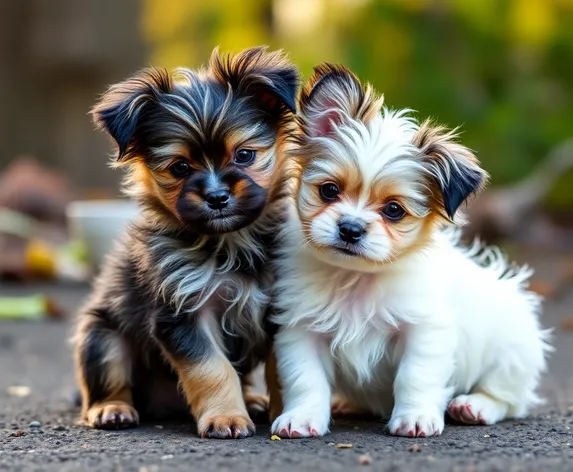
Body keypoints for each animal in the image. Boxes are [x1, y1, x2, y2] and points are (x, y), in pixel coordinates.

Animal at [73, 47, 298, 438]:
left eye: (244, 155)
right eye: (179, 168)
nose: (217, 197)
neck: (230, 243)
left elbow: (283, 369)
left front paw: (288, 413)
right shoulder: (185, 312)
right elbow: (211, 368)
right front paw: (226, 418)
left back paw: (253, 400)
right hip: (101, 337)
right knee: (108, 381)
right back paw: (112, 409)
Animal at [270, 63, 552, 438]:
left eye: (393, 210)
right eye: (329, 191)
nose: (350, 229)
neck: (356, 279)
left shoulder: (424, 331)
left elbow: (415, 377)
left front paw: (415, 417)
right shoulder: (302, 331)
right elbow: (306, 380)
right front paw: (301, 418)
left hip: (512, 354)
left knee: (508, 399)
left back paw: (473, 406)